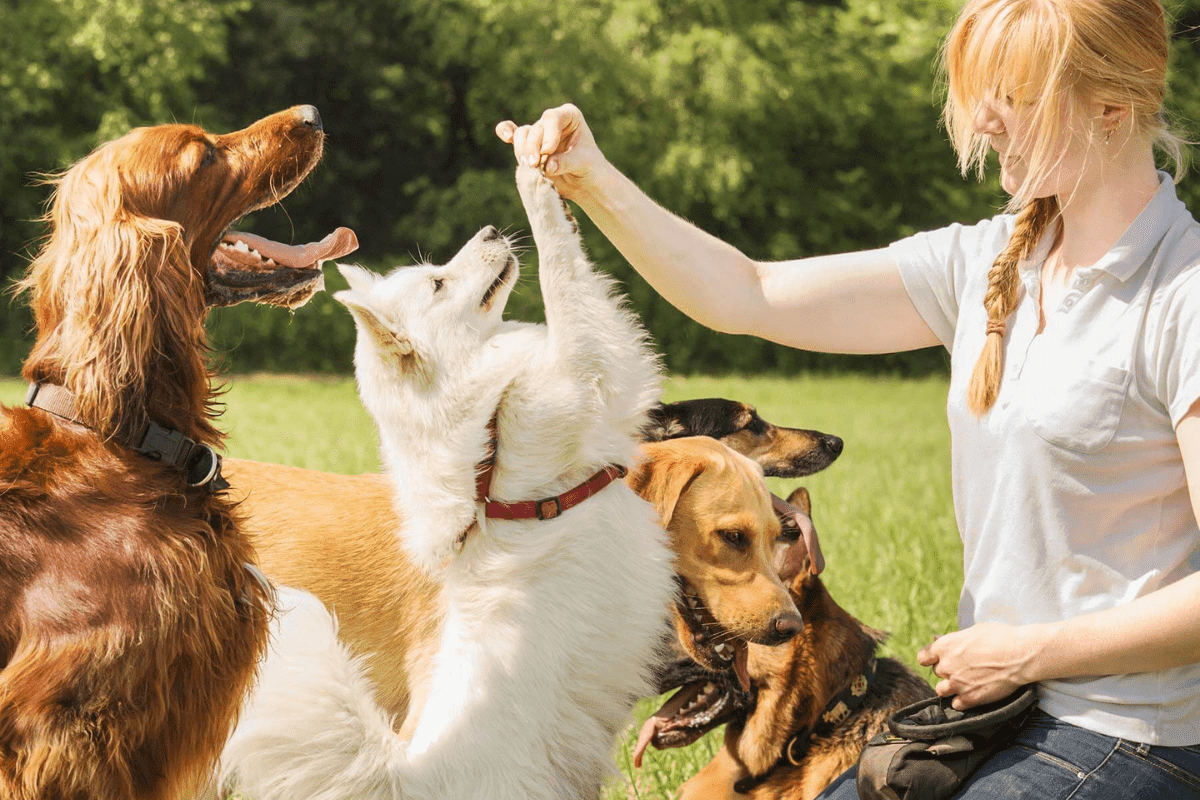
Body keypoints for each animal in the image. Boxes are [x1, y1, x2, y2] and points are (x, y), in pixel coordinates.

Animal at [210, 165, 672, 796]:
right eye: (437, 283)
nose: (488, 229)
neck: (489, 439)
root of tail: (404, 774)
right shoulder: (592, 372)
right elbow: (564, 272)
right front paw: (537, 186)